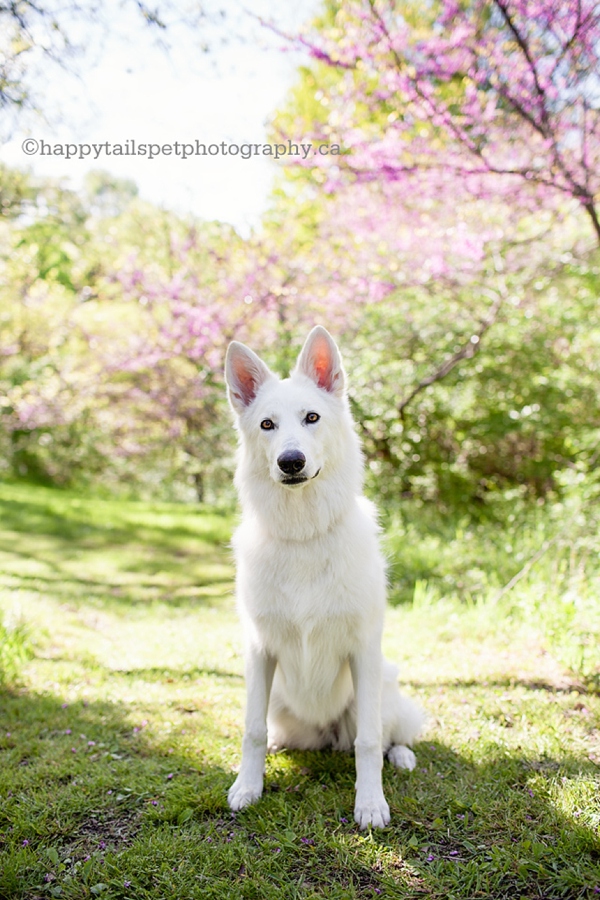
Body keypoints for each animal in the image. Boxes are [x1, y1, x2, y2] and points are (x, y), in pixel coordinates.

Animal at [224, 326, 422, 828]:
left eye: (311, 417)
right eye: (267, 425)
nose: (291, 461)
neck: (304, 535)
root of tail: (327, 737)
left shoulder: (364, 650)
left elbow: (368, 742)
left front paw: (370, 804)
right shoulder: (258, 650)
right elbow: (251, 731)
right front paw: (247, 786)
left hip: (382, 685)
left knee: (385, 735)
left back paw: (402, 755)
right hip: (277, 699)